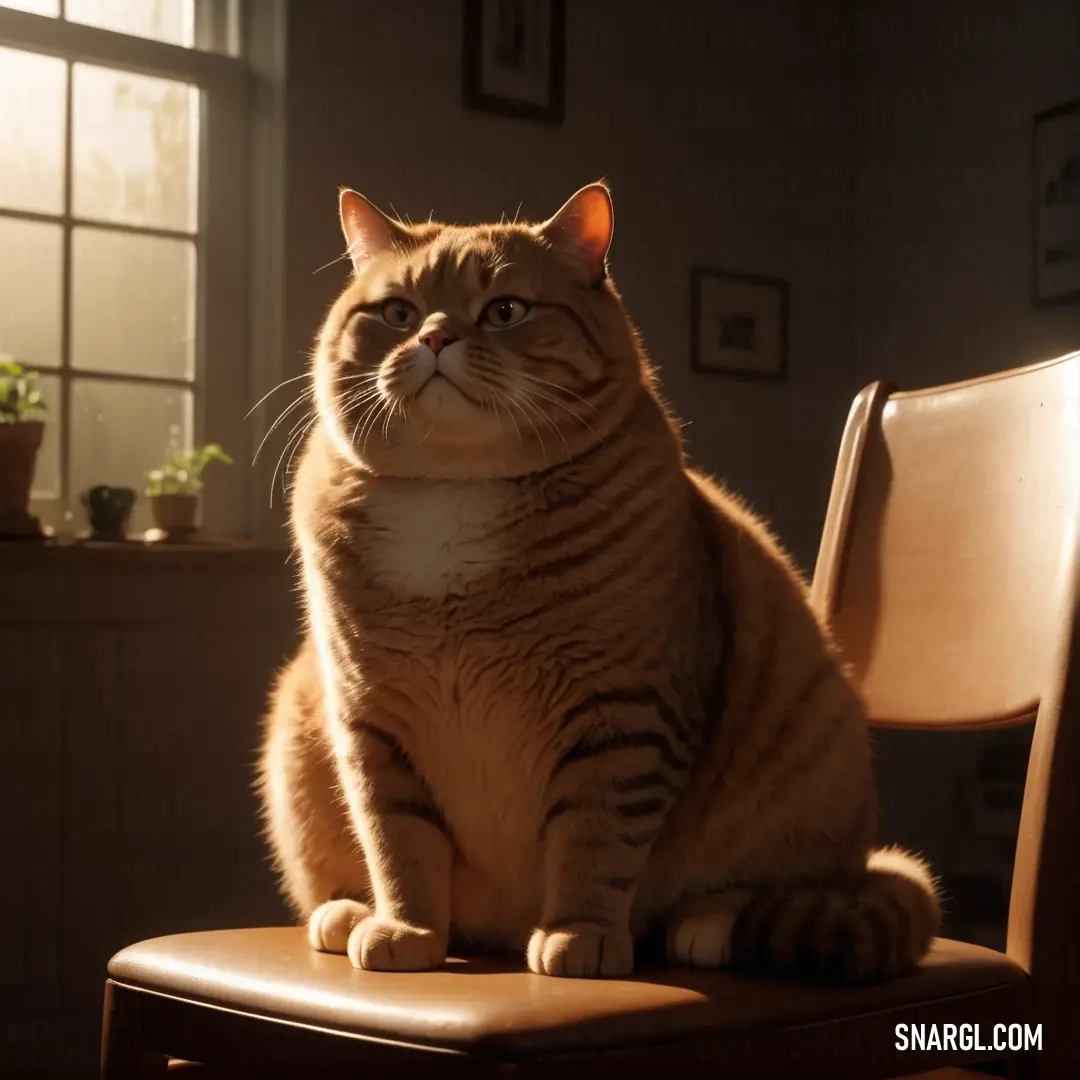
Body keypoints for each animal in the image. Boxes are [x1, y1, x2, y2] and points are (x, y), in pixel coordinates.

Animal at [259, 183, 937, 980]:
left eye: (505, 310)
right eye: (397, 311)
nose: (431, 338)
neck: (452, 495)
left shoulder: (622, 716)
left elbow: (595, 843)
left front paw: (577, 937)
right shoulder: (370, 725)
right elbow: (398, 846)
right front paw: (408, 931)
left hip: (812, 753)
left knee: (785, 887)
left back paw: (708, 925)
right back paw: (347, 914)